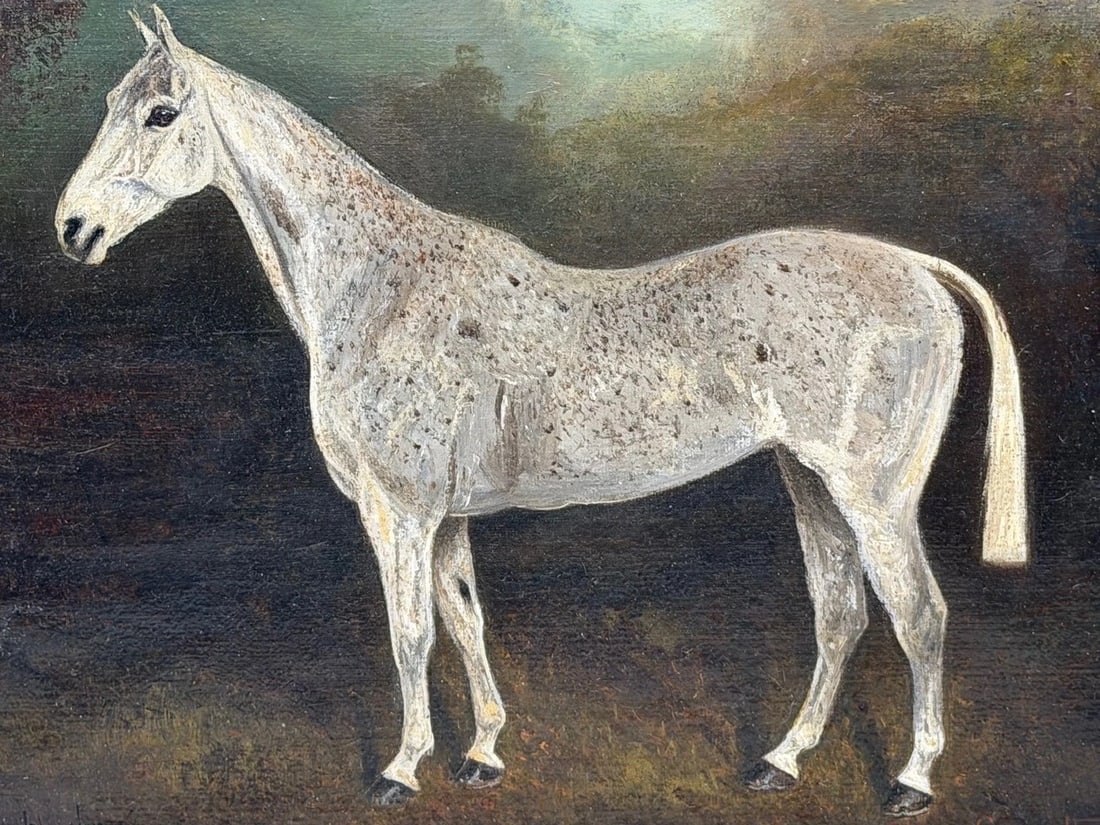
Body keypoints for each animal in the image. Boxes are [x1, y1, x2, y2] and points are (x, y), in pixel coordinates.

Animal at [55, 8, 1028, 817]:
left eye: (161, 114)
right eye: (109, 103)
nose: (72, 228)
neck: (382, 285)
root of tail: (918, 268)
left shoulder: (399, 510)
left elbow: (410, 634)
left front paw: (401, 768)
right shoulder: (442, 516)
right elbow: (464, 618)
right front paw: (482, 752)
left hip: (873, 493)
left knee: (920, 616)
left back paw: (910, 779)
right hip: (811, 480)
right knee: (841, 617)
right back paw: (780, 760)